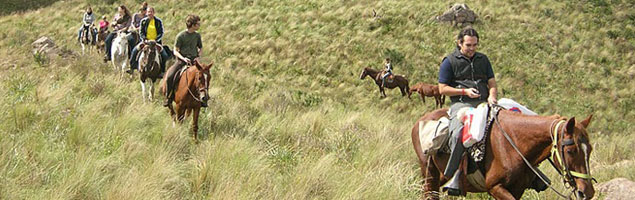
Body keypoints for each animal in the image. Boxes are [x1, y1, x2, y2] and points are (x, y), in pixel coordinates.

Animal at [412, 108, 596, 199]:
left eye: (590, 150)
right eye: (571, 151)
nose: (587, 192)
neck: (513, 144)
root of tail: (419, 121)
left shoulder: (517, 189)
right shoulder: (495, 187)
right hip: (429, 174)